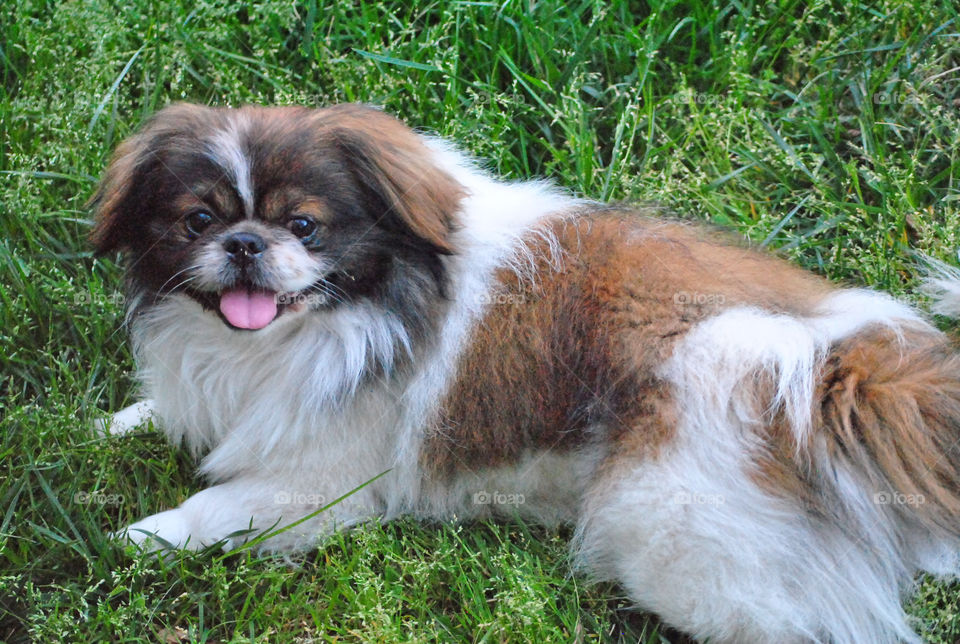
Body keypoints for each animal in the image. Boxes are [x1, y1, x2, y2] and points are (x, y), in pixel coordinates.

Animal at [94, 103, 960, 640]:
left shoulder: (320, 485)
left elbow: (217, 505)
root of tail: (835, 369)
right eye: (197, 221)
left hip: (667, 532)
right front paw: (120, 423)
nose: (244, 243)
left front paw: (146, 536)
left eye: (304, 226)